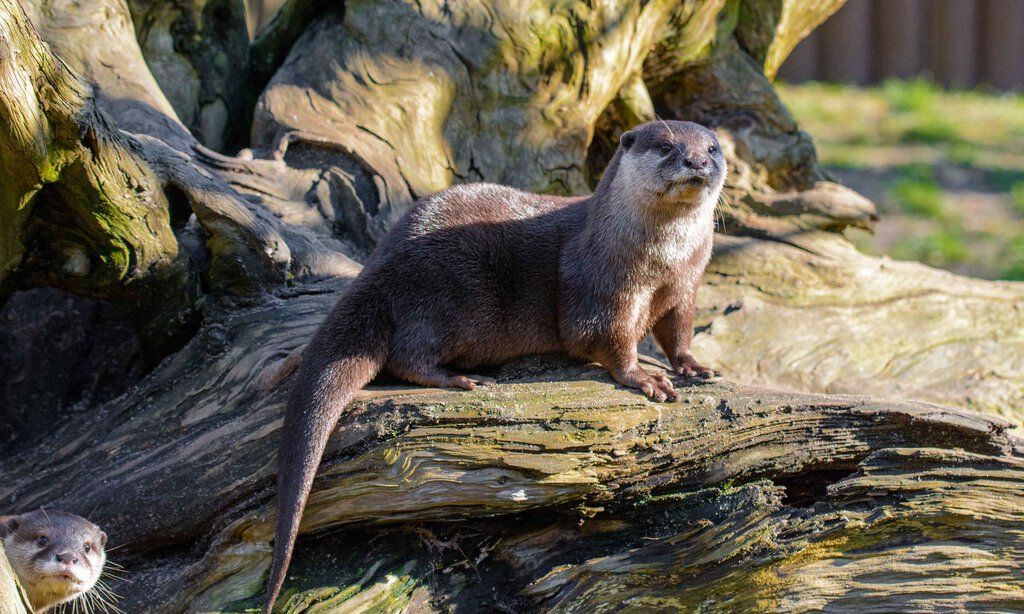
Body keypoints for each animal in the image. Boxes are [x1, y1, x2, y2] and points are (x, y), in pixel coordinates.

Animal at [264, 120, 725, 610]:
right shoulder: (602, 291)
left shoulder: (686, 284)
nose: (696, 160)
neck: (659, 262)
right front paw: (642, 376)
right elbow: (603, 339)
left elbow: (679, 332)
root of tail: (379, 263)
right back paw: (459, 378)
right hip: (448, 298)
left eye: (712, 148)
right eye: (665, 147)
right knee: (406, 354)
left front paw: (695, 367)